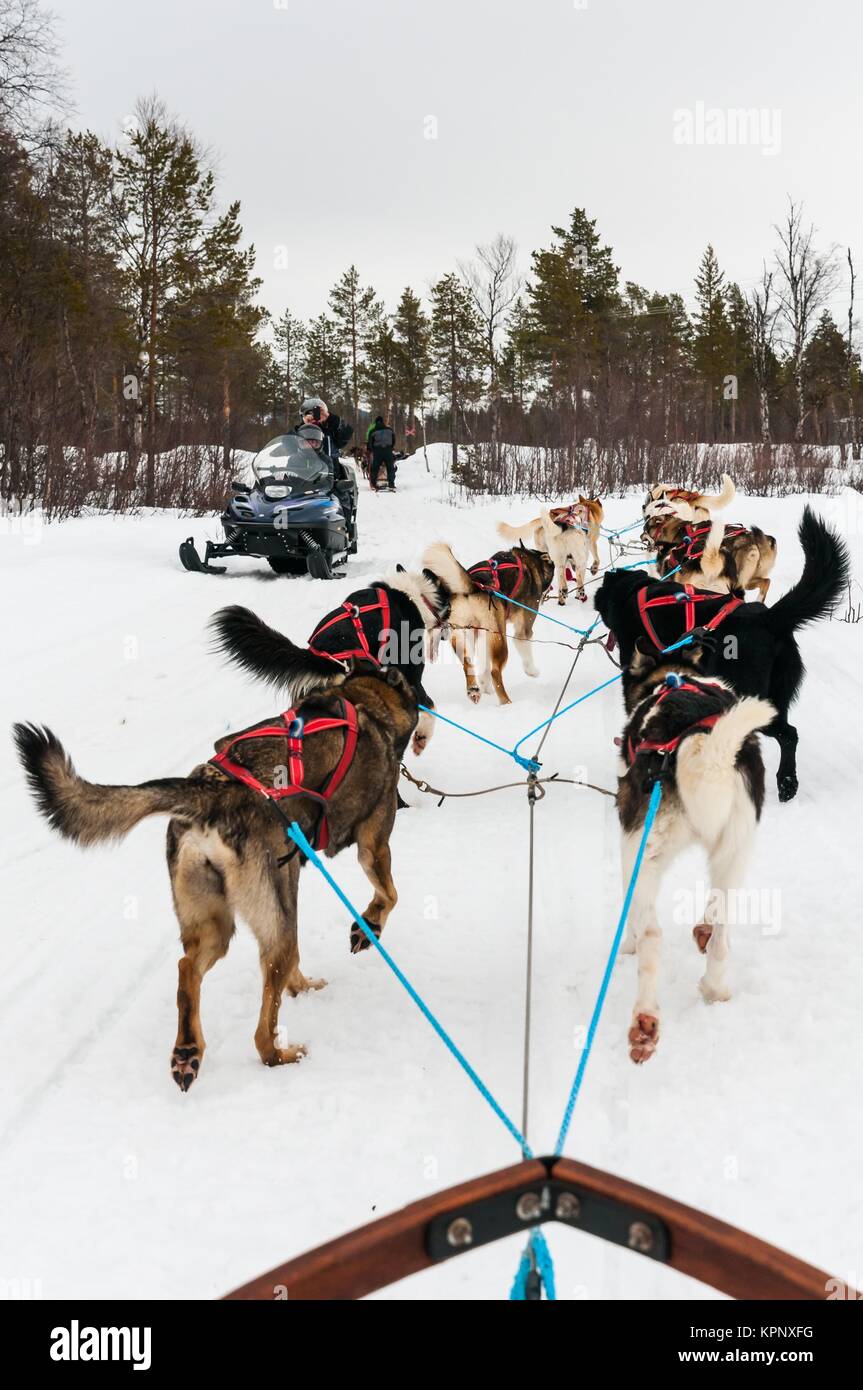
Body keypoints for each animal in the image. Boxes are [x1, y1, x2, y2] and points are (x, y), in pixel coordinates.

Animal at [12, 664, 416, 1095]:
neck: (365, 700)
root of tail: (209, 796)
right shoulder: (373, 844)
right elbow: (389, 893)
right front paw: (368, 926)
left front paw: (307, 981)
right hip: (268, 924)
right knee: (262, 1026)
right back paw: (281, 1054)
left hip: (216, 922)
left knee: (188, 968)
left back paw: (189, 1050)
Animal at [422, 536, 555, 700]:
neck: (528, 562)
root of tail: (474, 585)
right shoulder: (523, 630)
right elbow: (524, 647)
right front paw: (532, 671)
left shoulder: (482, 634)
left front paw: (484, 684)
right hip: (499, 638)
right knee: (495, 672)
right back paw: (506, 702)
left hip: (466, 635)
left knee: (468, 663)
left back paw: (475, 689)